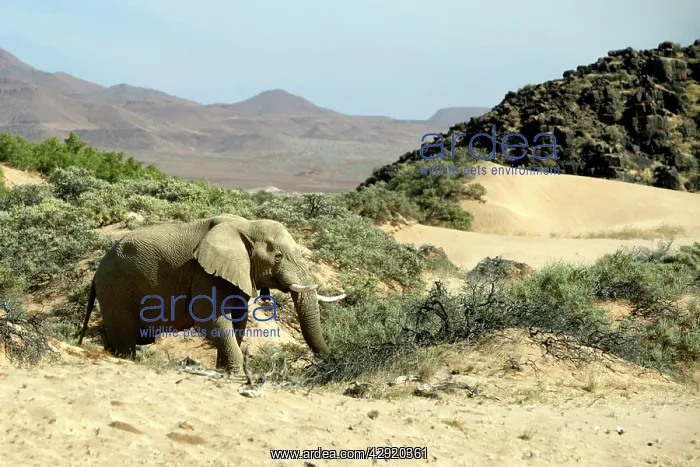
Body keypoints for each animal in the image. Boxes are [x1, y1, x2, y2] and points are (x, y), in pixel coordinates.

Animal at [76, 214, 346, 374]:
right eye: (278, 256)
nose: (332, 362)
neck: (247, 225)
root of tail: (96, 272)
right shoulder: (203, 273)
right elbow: (211, 321)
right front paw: (236, 374)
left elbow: (238, 323)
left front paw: (224, 371)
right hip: (116, 290)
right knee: (124, 338)